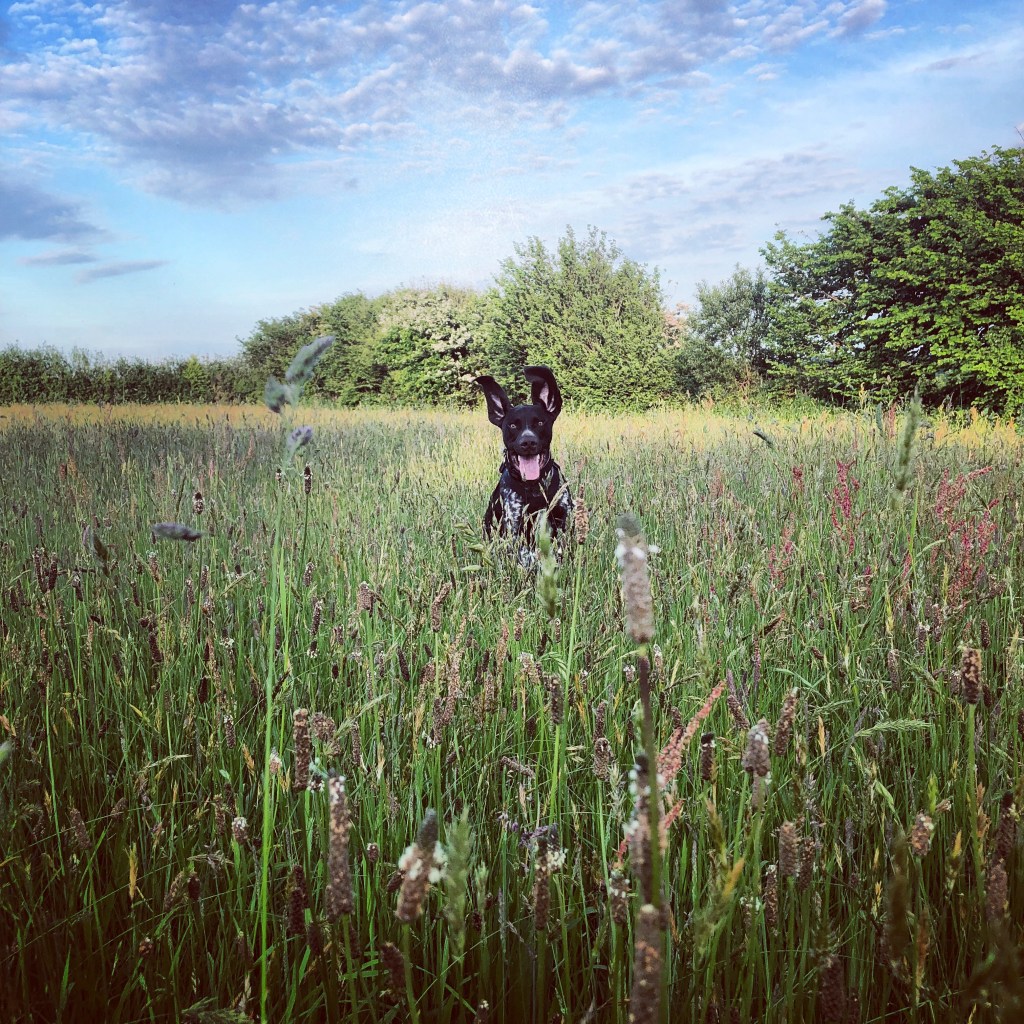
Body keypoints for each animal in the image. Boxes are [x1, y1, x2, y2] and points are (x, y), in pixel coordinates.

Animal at [475, 366, 574, 561]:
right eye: (513, 426)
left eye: (540, 422)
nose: (528, 442)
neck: (535, 488)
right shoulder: (515, 525)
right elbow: (526, 554)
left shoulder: (563, 518)